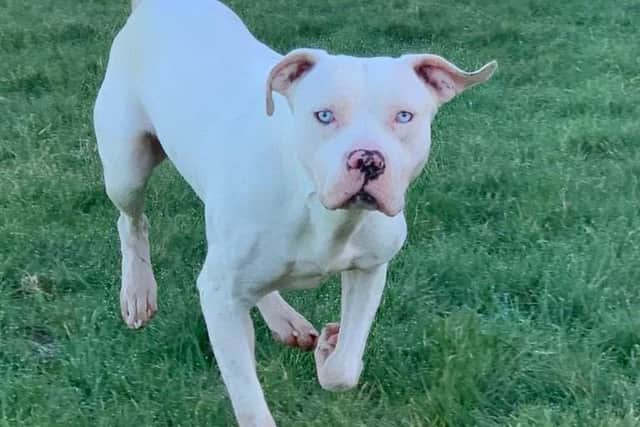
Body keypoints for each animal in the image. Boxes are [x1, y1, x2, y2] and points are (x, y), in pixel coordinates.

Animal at [94, 1, 496, 426]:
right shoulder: (218, 297)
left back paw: (284, 319)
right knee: (131, 221)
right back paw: (138, 292)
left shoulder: (371, 268)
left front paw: (330, 351)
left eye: (404, 116)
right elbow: (249, 400)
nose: (368, 160)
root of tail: (158, 7)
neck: (318, 208)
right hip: (126, 168)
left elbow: (345, 368)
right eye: (324, 115)